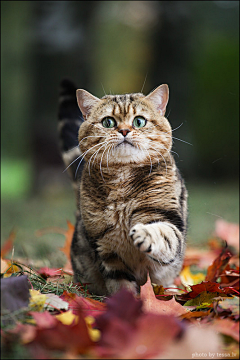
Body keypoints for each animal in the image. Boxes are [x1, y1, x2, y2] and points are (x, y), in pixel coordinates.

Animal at [57, 79, 188, 296]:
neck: (122, 179)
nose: (125, 130)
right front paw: (125, 303)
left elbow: (164, 234)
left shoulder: (164, 216)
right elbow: (121, 284)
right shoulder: (106, 249)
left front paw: (144, 233)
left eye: (139, 121)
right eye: (108, 122)